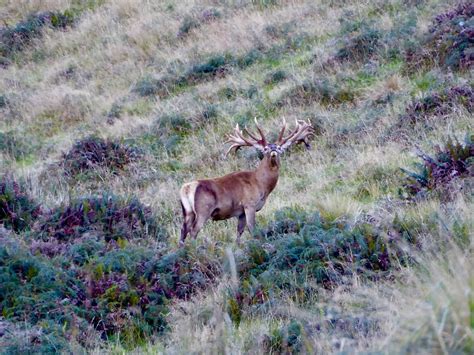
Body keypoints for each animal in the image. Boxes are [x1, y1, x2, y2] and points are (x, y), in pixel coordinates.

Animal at [180, 118, 312, 246]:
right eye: (265, 148)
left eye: (279, 148)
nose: (273, 149)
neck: (261, 184)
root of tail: (186, 189)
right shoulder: (250, 204)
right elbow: (252, 228)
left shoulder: (241, 212)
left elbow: (239, 231)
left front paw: (239, 246)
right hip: (203, 210)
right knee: (193, 231)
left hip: (188, 212)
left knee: (183, 231)